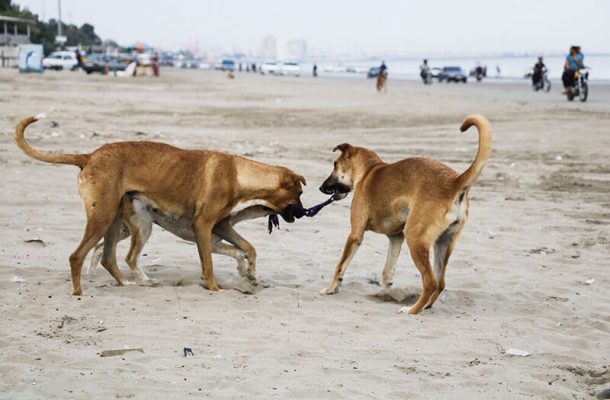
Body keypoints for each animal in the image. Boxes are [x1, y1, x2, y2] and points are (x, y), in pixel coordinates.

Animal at [15, 114, 304, 296]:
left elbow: (247, 249)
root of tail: (89, 156)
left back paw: (127, 283)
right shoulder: (204, 227)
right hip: (108, 218)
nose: (303, 214)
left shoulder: (220, 227)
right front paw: (214, 287)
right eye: (300, 193)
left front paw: (249, 274)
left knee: (108, 256)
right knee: (82, 255)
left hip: (117, 221)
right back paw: (79, 291)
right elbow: (210, 263)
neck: (238, 173)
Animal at [318, 114, 490, 314]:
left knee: (430, 282)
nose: (321, 187)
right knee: (440, 283)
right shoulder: (396, 238)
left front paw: (330, 289)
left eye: (335, 165)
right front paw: (384, 293)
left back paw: (412, 310)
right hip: (443, 243)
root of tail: (454, 182)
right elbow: (387, 273)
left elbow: (340, 266)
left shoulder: (355, 235)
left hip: (415, 239)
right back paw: (426, 306)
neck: (370, 170)